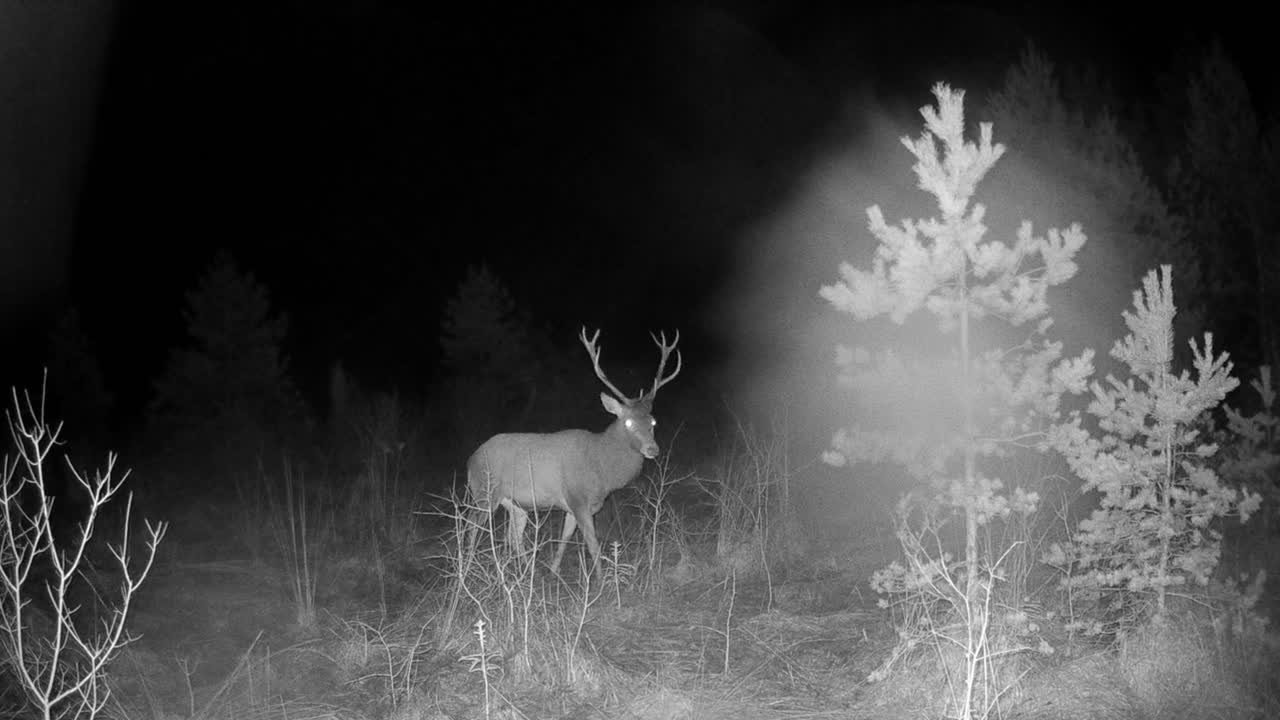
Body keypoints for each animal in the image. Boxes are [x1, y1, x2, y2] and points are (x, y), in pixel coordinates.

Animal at [465, 327, 681, 576]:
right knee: (471, 526)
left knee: (513, 535)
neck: (601, 466)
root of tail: (470, 460)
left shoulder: (574, 506)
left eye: (653, 422)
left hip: (515, 503)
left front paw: (553, 570)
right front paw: (601, 579)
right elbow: (593, 544)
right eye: (628, 422)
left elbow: (565, 537)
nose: (652, 449)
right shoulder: (578, 499)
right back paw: (466, 568)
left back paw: (527, 571)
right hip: (484, 491)